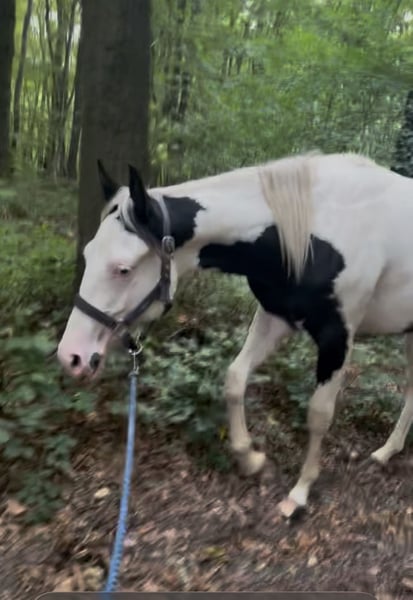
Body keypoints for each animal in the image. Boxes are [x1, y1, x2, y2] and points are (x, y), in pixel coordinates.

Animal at [57, 151, 413, 518]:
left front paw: (300, 492)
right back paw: (387, 451)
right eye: (88, 254)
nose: (71, 356)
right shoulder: (274, 317)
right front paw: (250, 458)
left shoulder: (337, 338)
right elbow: (235, 379)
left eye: (123, 269)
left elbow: (318, 415)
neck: (315, 227)